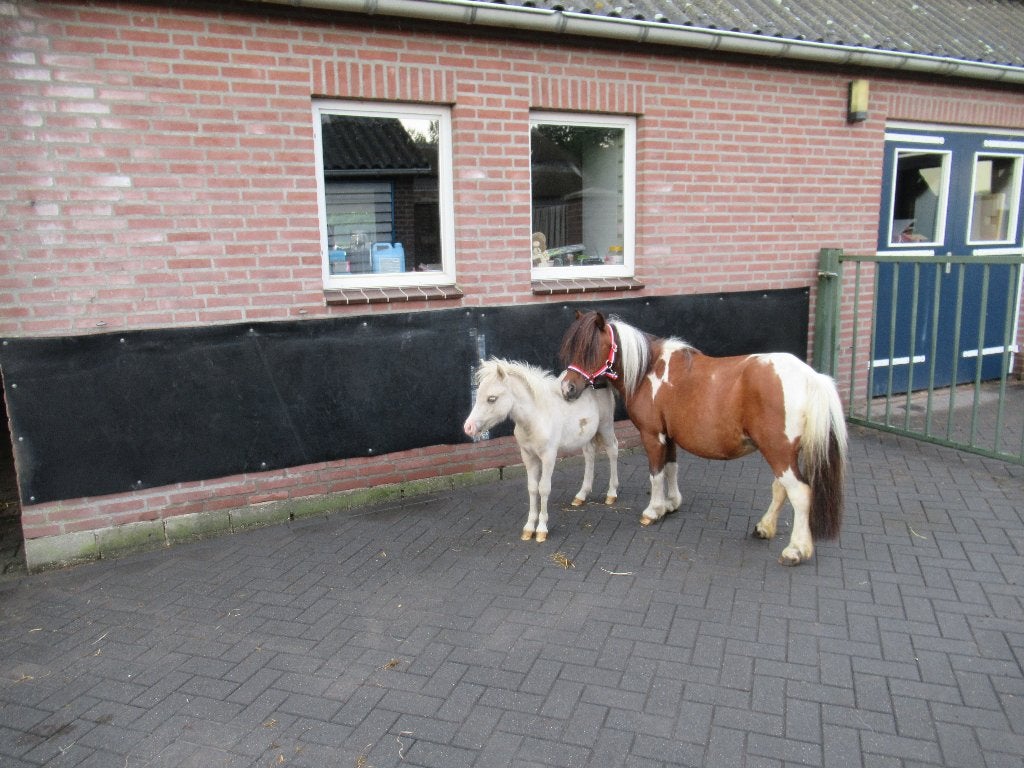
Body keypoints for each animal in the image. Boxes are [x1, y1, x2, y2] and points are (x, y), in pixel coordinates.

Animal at [463, 358, 619, 543]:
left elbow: (544, 488)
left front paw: (541, 529)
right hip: (586, 435)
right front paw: (529, 528)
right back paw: (581, 495)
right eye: (478, 393)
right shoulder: (528, 456)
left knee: (613, 450)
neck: (536, 417)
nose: (468, 427)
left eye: (491, 398)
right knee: (589, 454)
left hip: (606, 426)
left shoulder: (549, 456)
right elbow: (532, 488)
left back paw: (611, 493)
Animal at [558, 311, 847, 565]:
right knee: (781, 488)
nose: (567, 388)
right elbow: (671, 469)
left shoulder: (652, 435)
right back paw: (764, 528)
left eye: (591, 349)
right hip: (783, 453)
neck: (648, 370)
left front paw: (653, 510)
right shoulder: (669, 436)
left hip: (778, 451)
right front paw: (671, 504)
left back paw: (795, 550)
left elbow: (656, 474)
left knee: (800, 493)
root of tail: (811, 377)